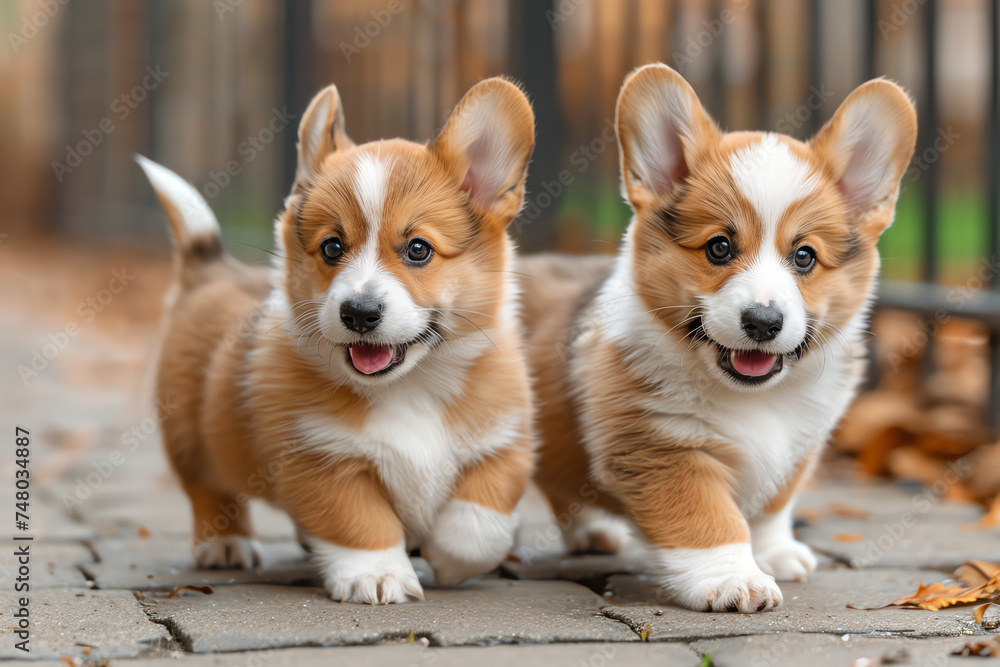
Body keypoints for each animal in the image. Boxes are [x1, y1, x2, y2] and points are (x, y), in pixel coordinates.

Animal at [139, 77, 540, 604]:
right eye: (332, 247)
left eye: (418, 249)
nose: (359, 313)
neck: (410, 387)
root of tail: (211, 269)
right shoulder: (320, 457)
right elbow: (360, 520)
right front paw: (379, 575)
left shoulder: (503, 443)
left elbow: (479, 525)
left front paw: (446, 557)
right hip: (193, 439)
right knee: (209, 492)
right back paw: (226, 544)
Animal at [520, 65, 916, 612]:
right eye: (719, 247)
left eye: (805, 257)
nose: (763, 322)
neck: (753, 397)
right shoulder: (662, 448)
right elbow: (708, 519)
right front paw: (735, 580)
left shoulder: (798, 446)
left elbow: (772, 504)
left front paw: (773, 554)